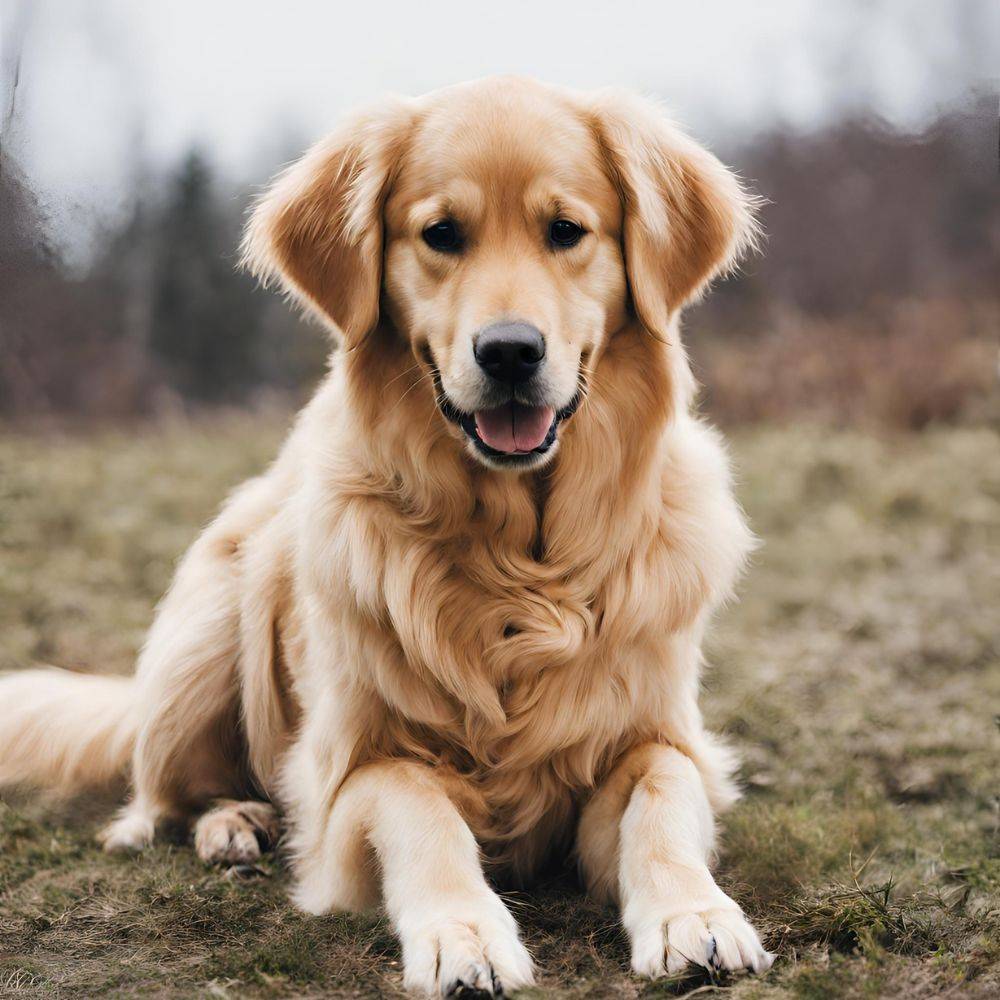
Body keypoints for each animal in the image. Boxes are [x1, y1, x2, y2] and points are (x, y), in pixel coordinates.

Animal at [0, 76, 772, 992]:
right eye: (441, 234)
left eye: (566, 231)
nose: (509, 352)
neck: (518, 565)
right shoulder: (351, 775)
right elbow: (417, 803)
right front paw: (463, 934)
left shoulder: (657, 733)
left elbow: (662, 791)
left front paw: (696, 914)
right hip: (210, 631)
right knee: (161, 802)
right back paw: (235, 823)